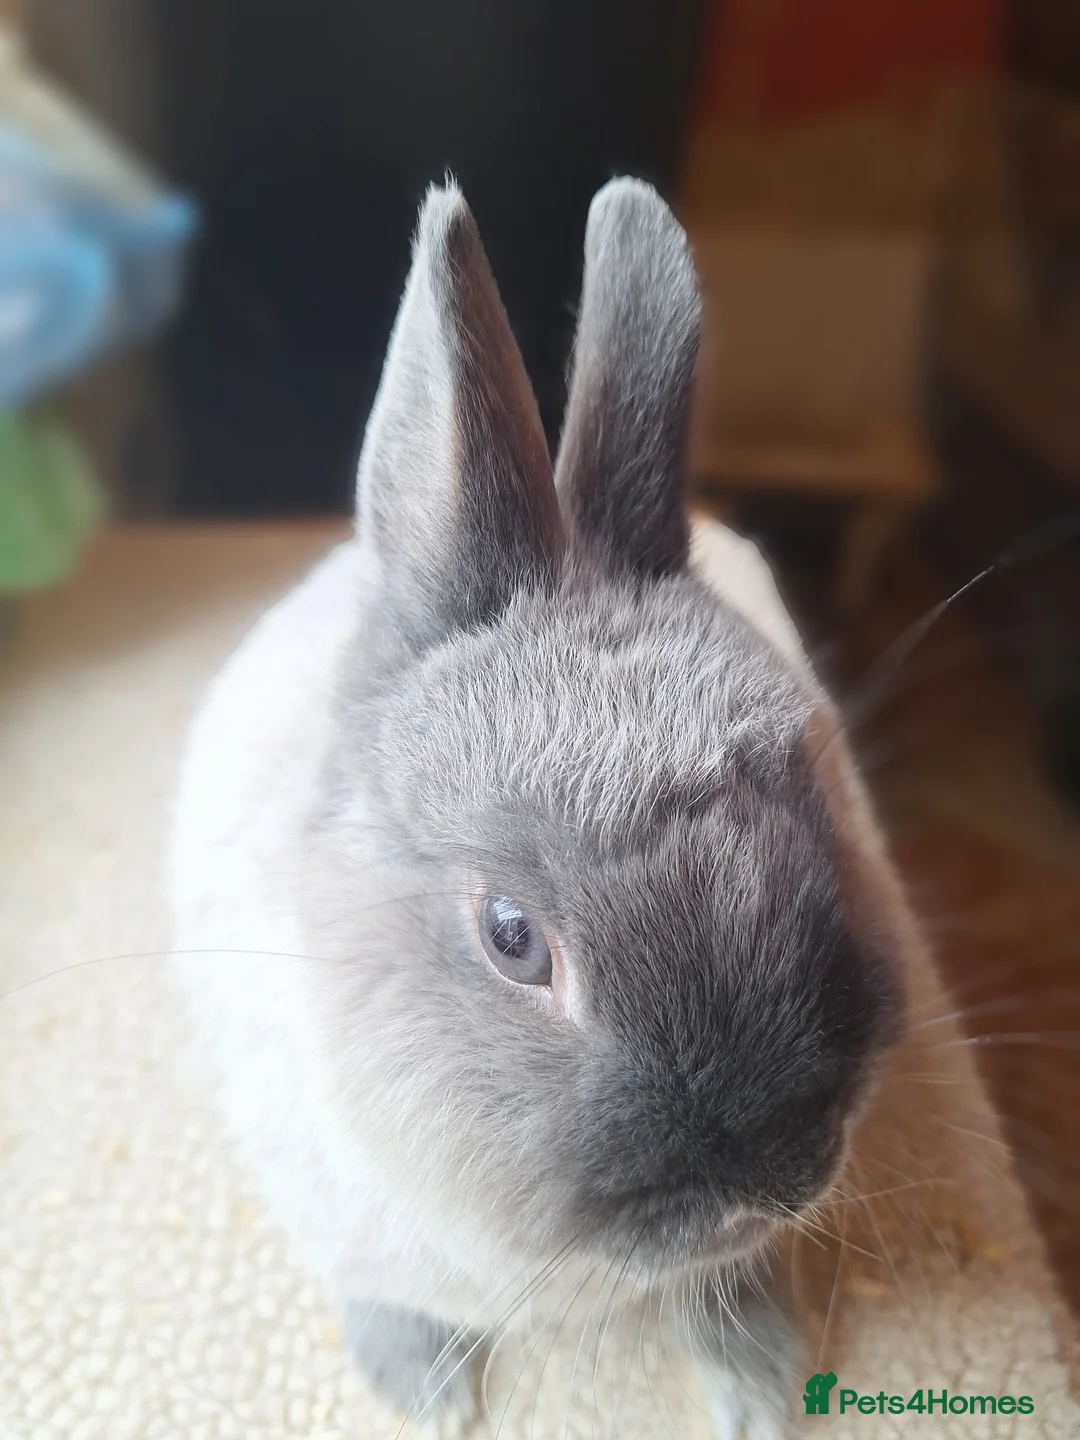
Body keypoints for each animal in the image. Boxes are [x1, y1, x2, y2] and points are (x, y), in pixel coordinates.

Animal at [169, 177, 907, 1439]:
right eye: (513, 938)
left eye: (815, 807)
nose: (773, 1174)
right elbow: (388, 1301)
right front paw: (429, 1400)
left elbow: (721, 1293)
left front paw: (763, 1393)